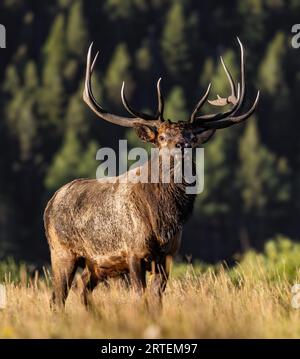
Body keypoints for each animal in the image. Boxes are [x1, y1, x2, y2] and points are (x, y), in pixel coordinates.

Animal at [43, 38, 258, 310]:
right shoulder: (133, 251)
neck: (163, 219)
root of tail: (50, 203)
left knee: (82, 289)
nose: (182, 145)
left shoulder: (167, 255)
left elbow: (156, 300)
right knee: (57, 297)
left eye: (192, 136)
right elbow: (139, 296)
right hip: (62, 251)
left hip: (96, 265)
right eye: (163, 137)